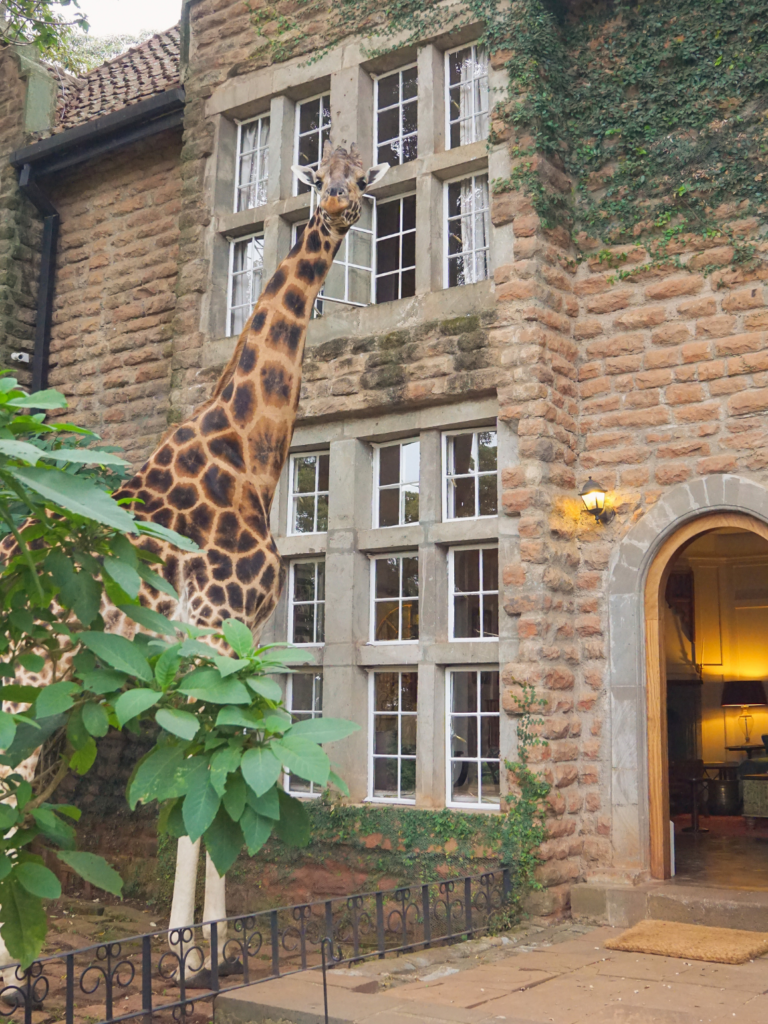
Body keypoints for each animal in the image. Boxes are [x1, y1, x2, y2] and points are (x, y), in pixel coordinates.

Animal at [0, 140, 387, 987]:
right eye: (319, 174)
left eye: (361, 176)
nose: (336, 206)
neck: (250, 451)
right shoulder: (215, 631)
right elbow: (209, 776)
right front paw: (196, 951)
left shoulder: (227, 647)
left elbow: (197, 776)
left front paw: (205, 948)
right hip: (29, 664)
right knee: (11, 779)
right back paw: (15, 978)